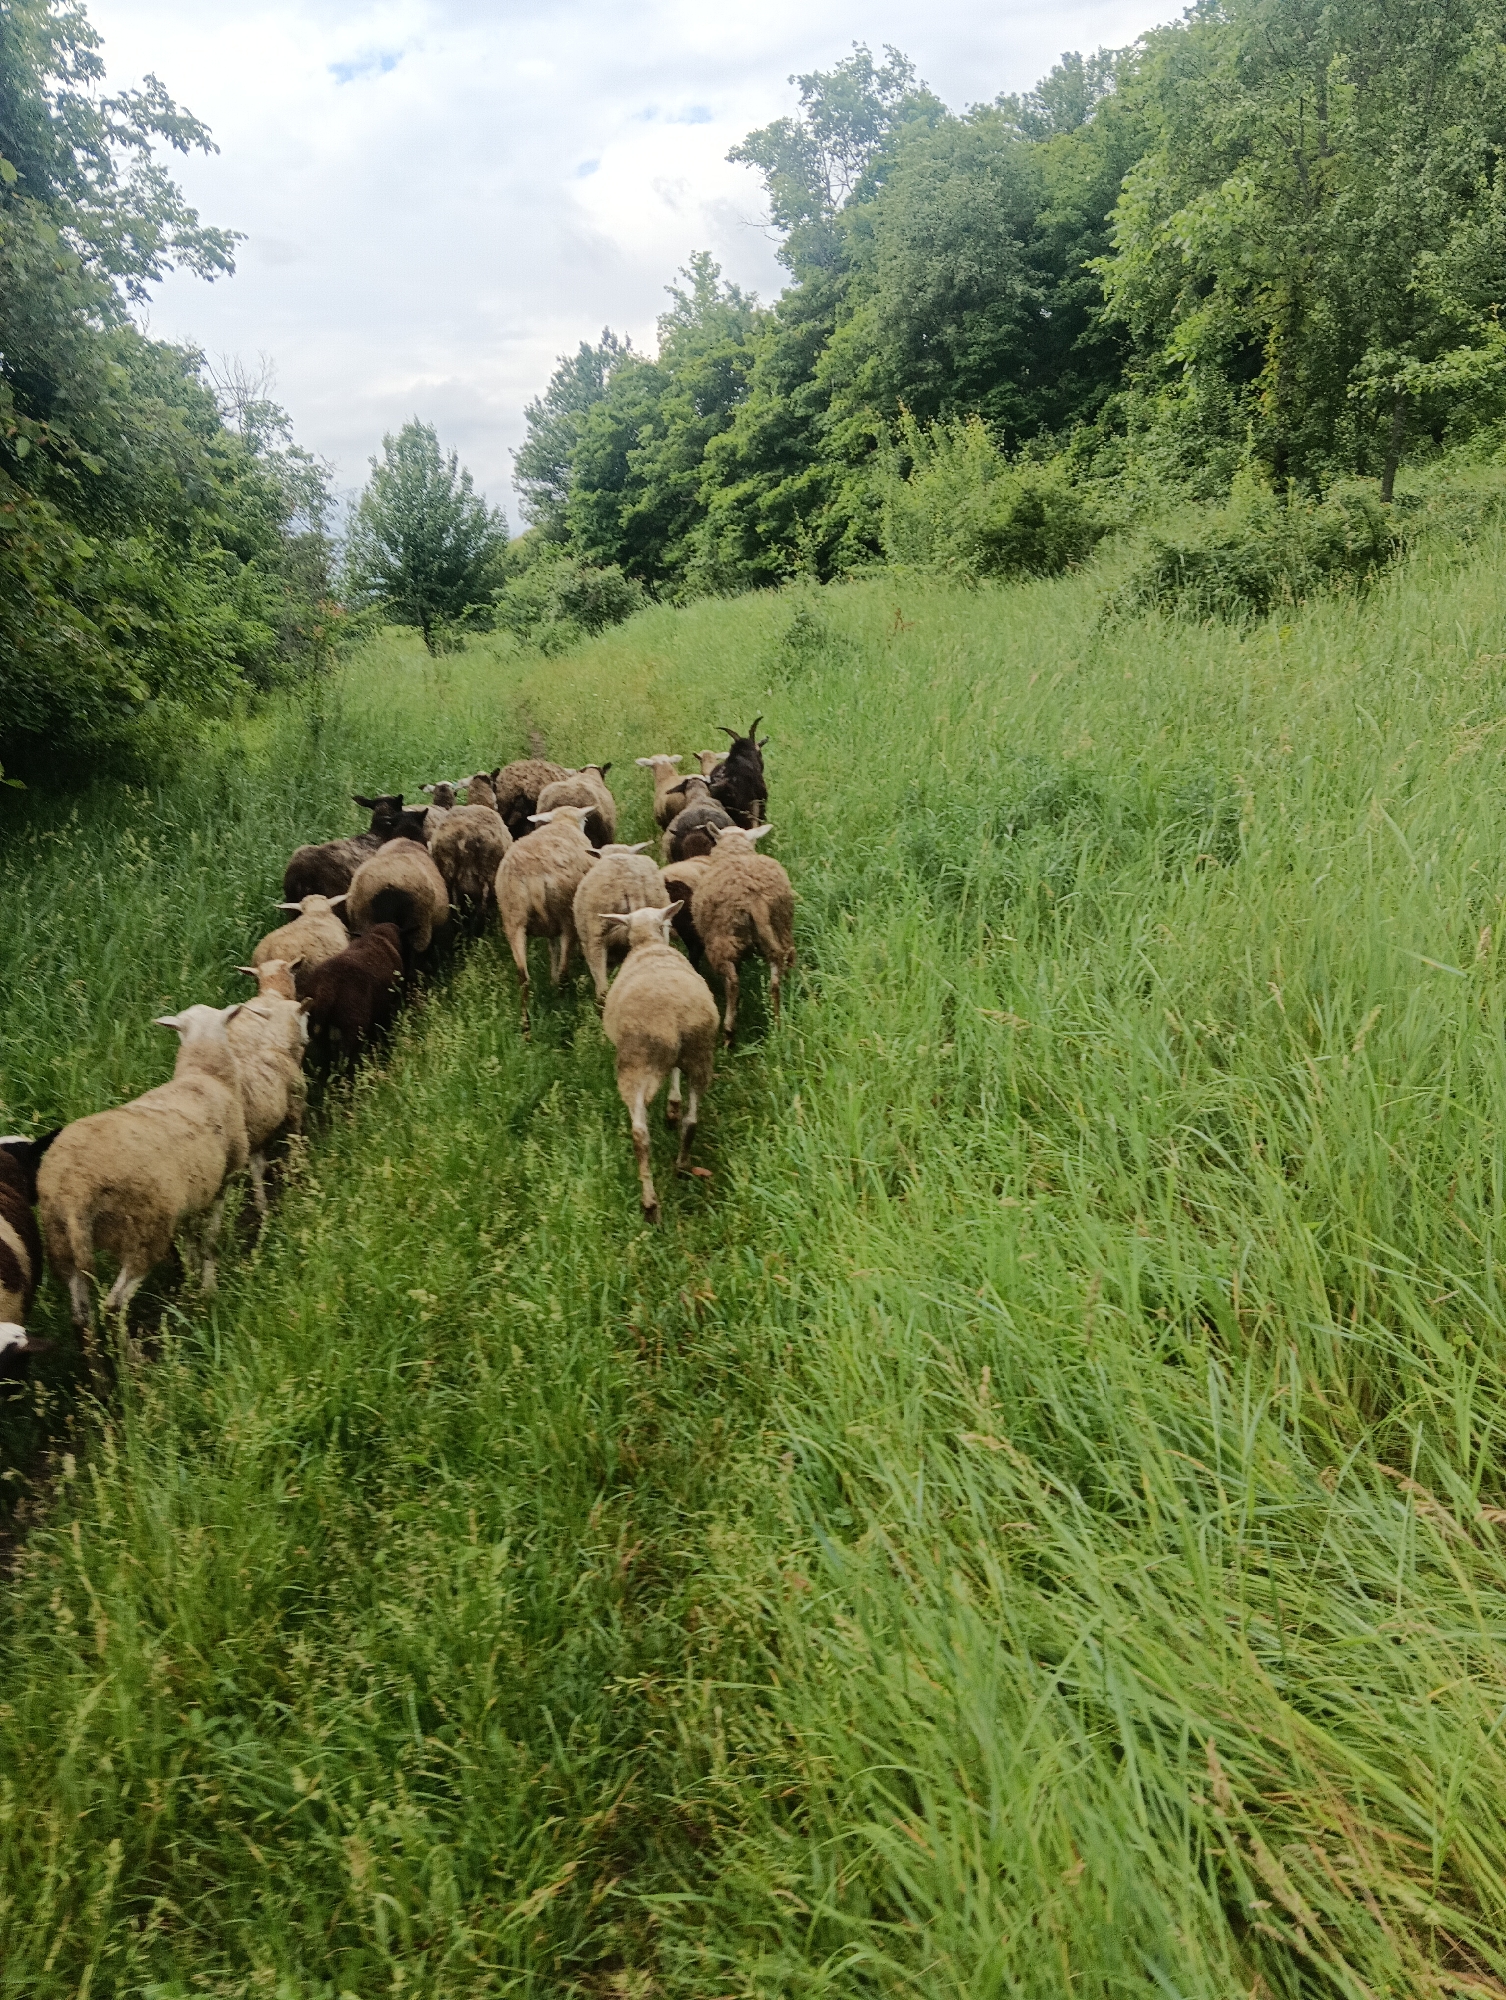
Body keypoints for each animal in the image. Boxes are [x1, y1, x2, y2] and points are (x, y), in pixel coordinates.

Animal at [38, 1003, 250, 1331]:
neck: (203, 1075)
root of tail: (75, 1190)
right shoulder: (223, 1182)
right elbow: (210, 1241)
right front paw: (207, 1289)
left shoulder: (193, 1193)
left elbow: (191, 1237)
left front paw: (191, 1278)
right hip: (144, 1232)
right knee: (114, 1306)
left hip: (60, 1239)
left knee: (81, 1315)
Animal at [301, 923, 406, 1069]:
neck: (380, 937)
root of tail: (326, 988)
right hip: (353, 1026)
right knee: (346, 1057)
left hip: (318, 1028)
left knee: (326, 1053)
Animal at [495, 804, 597, 1032]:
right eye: (585, 821)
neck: (563, 822)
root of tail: (534, 874)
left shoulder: (550, 928)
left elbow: (552, 949)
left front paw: (550, 978)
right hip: (566, 916)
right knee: (564, 972)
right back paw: (562, 1012)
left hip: (513, 919)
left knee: (523, 977)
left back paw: (526, 1028)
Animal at [600, 904, 719, 1224]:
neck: (649, 945)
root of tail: (673, 1019)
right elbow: (675, 1077)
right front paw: (673, 1106)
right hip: (700, 1054)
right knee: (692, 1120)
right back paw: (682, 1165)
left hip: (634, 1066)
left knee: (640, 1133)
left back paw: (650, 1205)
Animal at [692, 823, 796, 1043]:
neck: (735, 852)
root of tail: (755, 898)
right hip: (781, 928)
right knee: (777, 977)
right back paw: (778, 1022)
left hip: (722, 940)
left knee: (732, 982)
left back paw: (729, 1031)